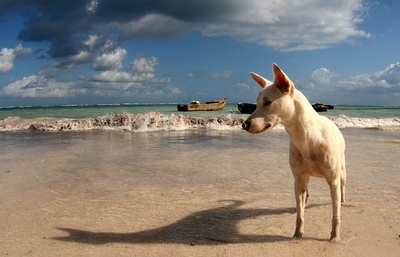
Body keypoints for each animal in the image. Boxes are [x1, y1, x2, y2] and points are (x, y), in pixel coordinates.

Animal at [242, 63, 346, 239]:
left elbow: (335, 214)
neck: (306, 138)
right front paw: (298, 234)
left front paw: (335, 237)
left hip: (343, 170)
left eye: (267, 102)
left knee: (343, 187)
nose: (244, 124)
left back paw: (344, 202)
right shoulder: (298, 178)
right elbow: (300, 214)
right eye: (256, 103)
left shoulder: (333, 180)